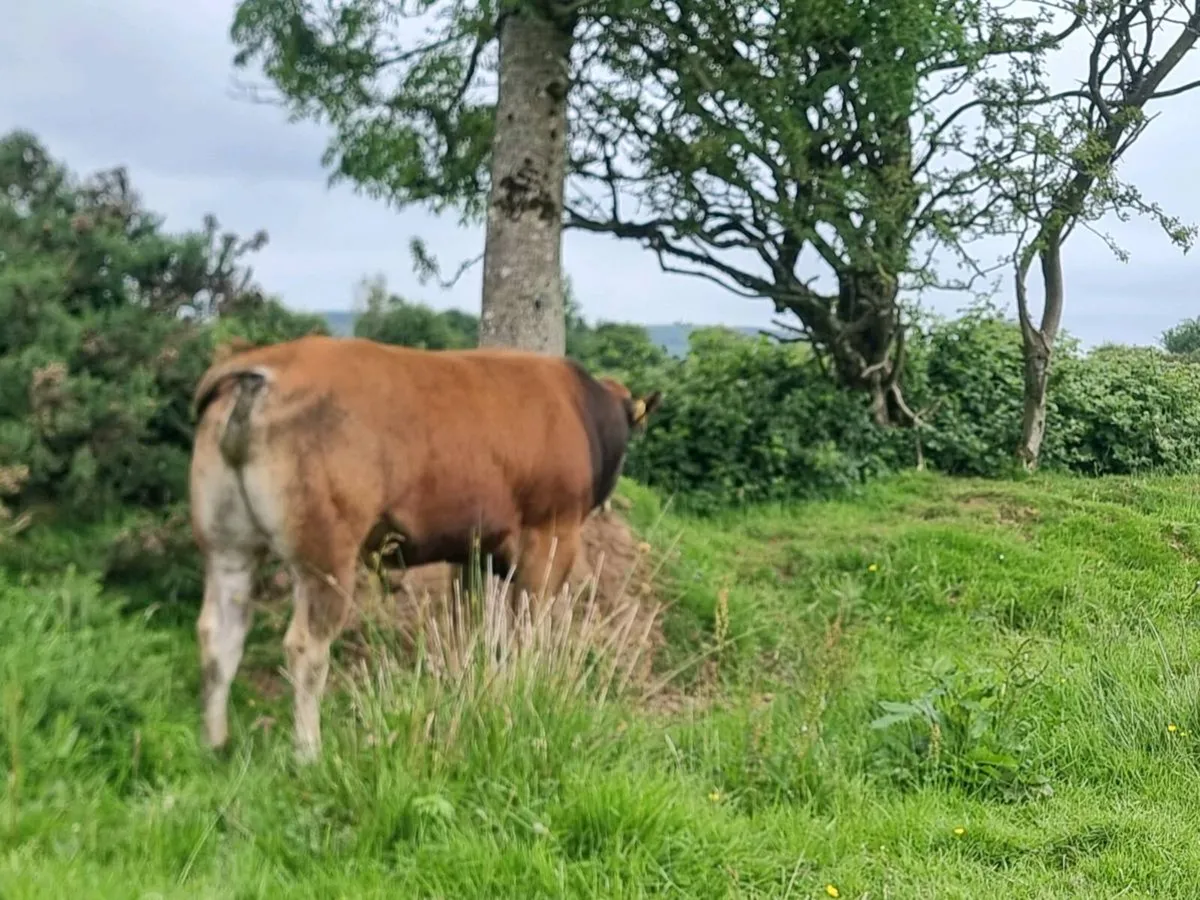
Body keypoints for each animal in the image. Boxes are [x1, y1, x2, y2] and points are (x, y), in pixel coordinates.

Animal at [188, 334, 662, 761]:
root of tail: (265, 368)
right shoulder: (550, 537)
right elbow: (528, 629)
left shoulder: (471, 550)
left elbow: (471, 621)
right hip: (326, 558)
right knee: (305, 648)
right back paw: (308, 754)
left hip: (228, 546)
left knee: (219, 634)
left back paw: (216, 745)